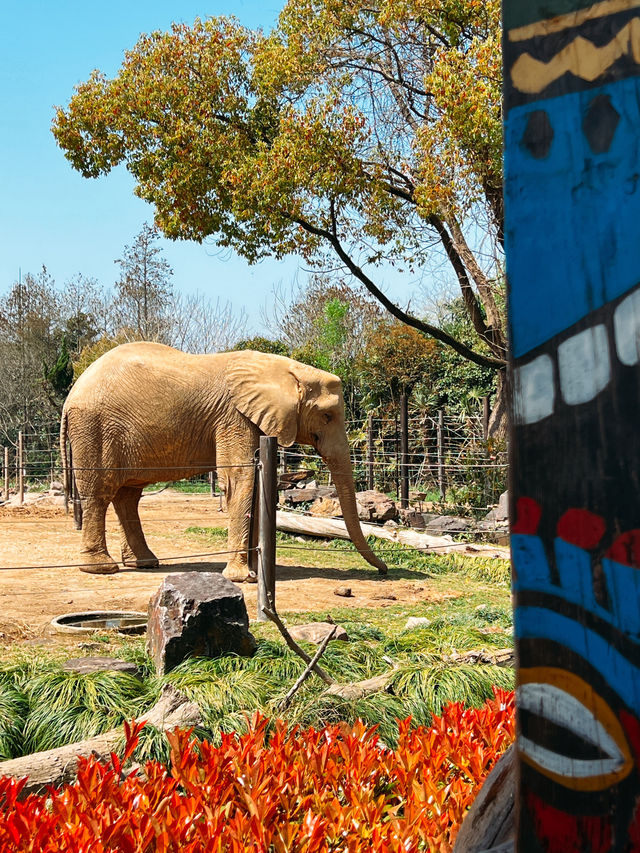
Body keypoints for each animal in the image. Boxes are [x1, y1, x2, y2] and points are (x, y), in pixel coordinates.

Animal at [60, 340, 388, 580]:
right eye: (327, 415)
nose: (383, 571)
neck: (283, 368)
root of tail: (71, 394)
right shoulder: (234, 417)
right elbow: (240, 479)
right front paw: (242, 578)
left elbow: (256, 480)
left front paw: (254, 573)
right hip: (95, 428)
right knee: (101, 493)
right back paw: (101, 569)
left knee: (128, 495)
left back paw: (145, 563)